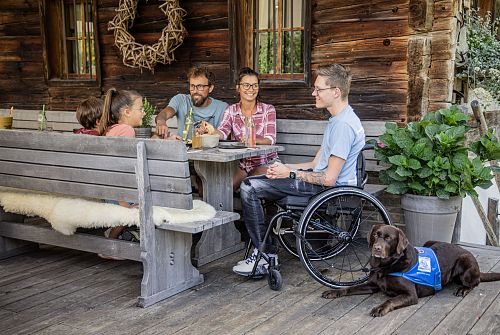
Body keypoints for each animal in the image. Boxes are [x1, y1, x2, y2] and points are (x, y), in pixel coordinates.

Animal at [320, 226, 500, 318]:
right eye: (375, 235)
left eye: (388, 238)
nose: (376, 249)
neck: (387, 266)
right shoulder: (372, 285)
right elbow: (349, 288)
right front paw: (333, 292)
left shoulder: (410, 295)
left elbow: (390, 300)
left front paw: (380, 308)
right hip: (429, 242)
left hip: (465, 260)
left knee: (476, 282)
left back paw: (463, 289)